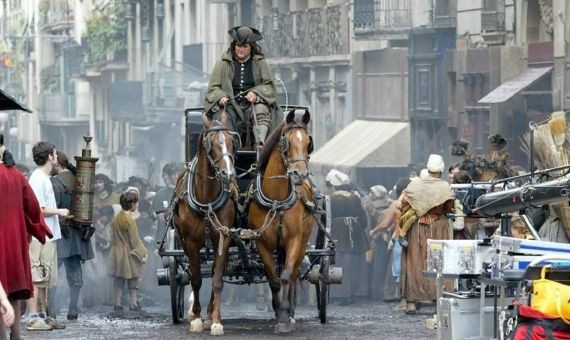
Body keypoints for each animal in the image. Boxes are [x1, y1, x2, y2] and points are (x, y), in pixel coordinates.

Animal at [171, 112, 237, 334]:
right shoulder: (190, 242)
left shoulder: (223, 238)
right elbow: (197, 279)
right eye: (212, 144)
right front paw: (196, 318)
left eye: (232, 141)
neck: (206, 198)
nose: (228, 174)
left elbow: (217, 280)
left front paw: (215, 320)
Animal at [246, 109, 312, 332]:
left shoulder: (293, 239)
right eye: (287, 142)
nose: (300, 174)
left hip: (303, 241)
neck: (276, 199)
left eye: (308, 142)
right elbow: (273, 279)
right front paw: (276, 309)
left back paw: (290, 310)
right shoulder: (261, 241)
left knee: (294, 273)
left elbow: (286, 276)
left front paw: (284, 316)